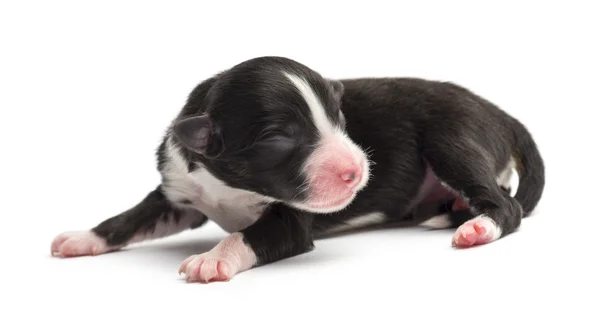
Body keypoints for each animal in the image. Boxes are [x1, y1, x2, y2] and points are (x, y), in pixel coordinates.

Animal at [51, 56, 548, 282]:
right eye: (278, 138)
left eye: (339, 119)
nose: (357, 171)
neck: (228, 185)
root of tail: (501, 113)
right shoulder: (179, 193)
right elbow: (128, 219)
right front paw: (83, 238)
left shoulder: (290, 220)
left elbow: (245, 235)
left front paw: (213, 257)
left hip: (451, 139)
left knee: (507, 206)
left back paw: (477, 228)